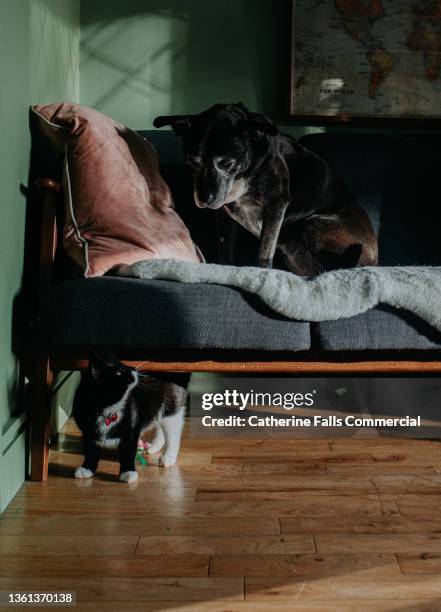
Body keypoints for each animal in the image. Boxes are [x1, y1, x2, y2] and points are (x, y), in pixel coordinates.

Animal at [153, 104, 376, 274]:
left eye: (227, 163)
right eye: (192, 162)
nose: (205, 200)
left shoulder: (275, 203)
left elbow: (264, 249)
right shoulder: (224, 214)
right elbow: (225, 244)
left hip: (312, 225)